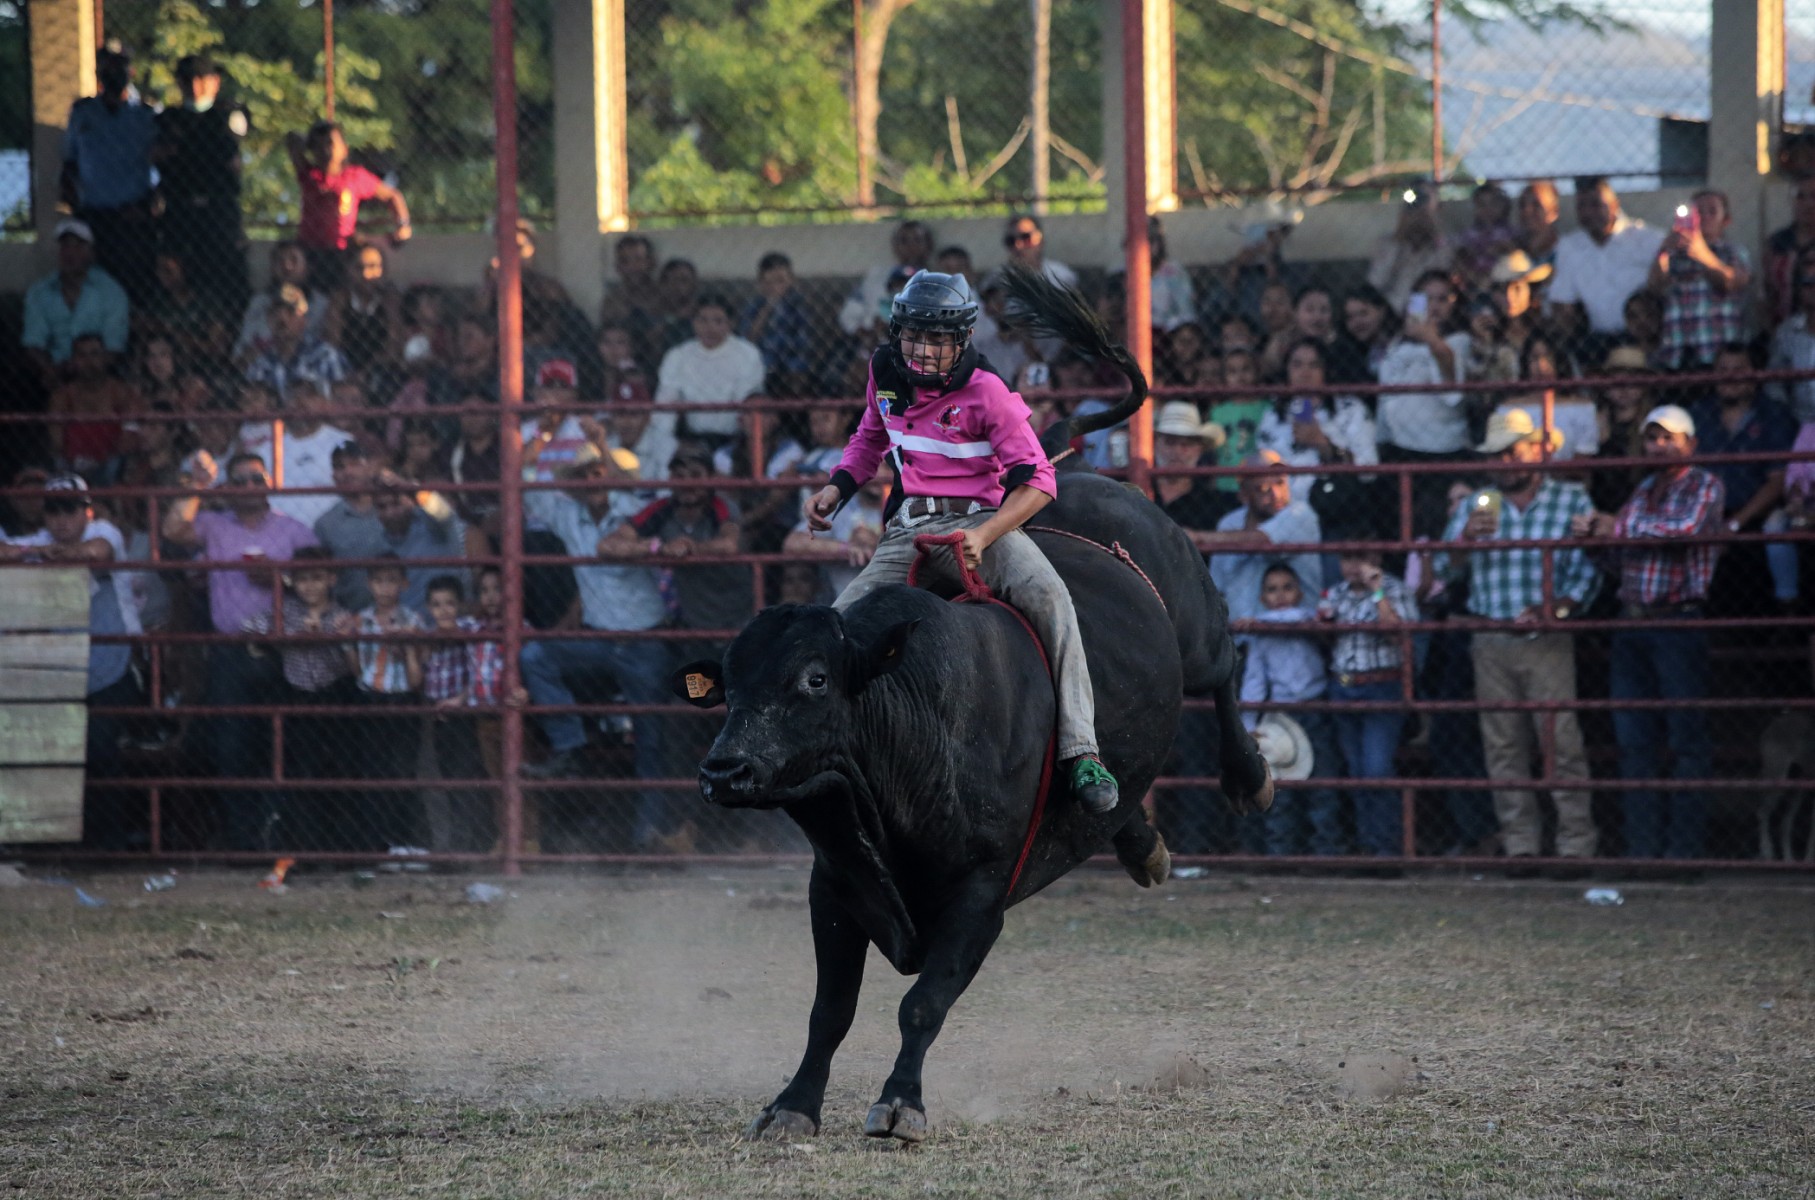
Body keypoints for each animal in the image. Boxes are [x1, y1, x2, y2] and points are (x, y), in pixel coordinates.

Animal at [671, 461, 1277, 1140]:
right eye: (728, 686)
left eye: (815, 679)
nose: (724, 770)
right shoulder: (834, 885)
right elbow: (830, 1009)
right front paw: (793, 1105)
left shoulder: (983, 895)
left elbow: (922, 1004)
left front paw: (901, 1104)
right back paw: (1140, 843)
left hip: (1197, 632)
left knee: (1225, 669)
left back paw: (1249, 776)